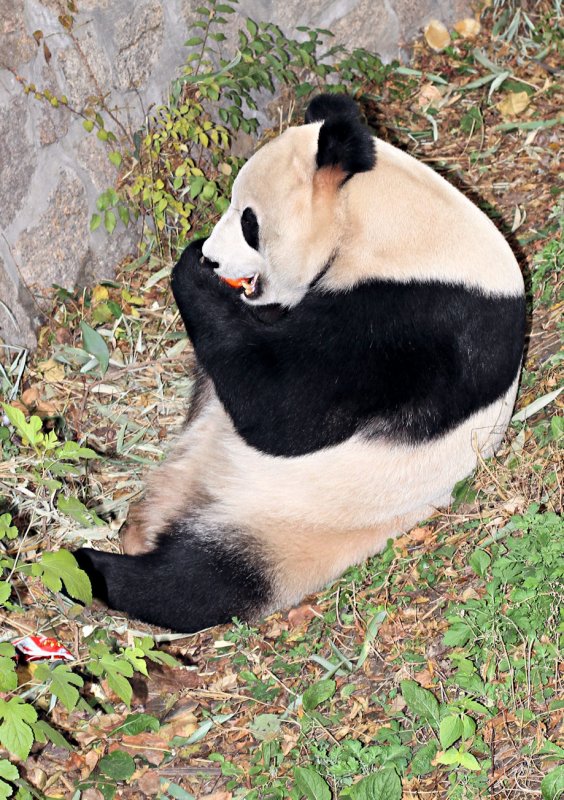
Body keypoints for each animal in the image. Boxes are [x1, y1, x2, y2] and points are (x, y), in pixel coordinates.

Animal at [74, 92, 524, 632]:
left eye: (249, 222)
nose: (213, 258)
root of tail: (191, 503)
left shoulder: (417, 317)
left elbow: (288, 410)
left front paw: (192, 271)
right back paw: (133, 530)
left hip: (291, 523)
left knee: (202, 582)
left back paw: (93, 569)